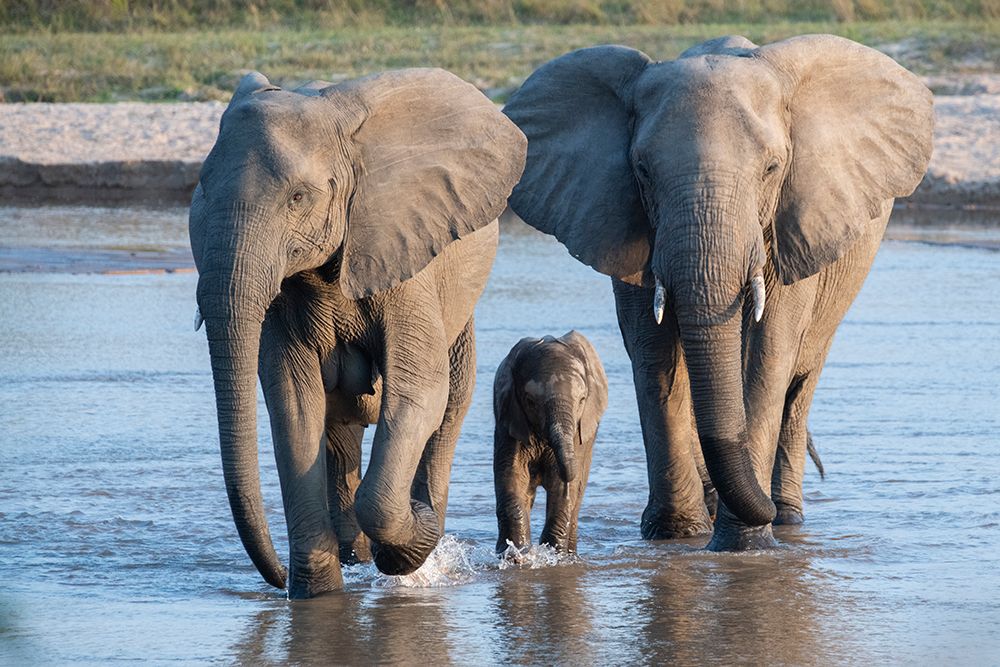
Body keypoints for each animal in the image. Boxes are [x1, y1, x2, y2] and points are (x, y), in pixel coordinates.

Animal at [190, 68, 526, 597]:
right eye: (200, 189)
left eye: (298, 198)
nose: (276, 576)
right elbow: (294, 404)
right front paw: (317, 595)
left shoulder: (405, 257)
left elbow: (419, 392)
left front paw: (416, 531)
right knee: (338, 427)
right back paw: (357, 555)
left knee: (450, 403)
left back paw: (424, 534)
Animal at [492, 331, 608, 555]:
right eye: (530, 401)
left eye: (582, 400)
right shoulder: (509, 420)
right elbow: (512, 474)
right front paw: (517, 552)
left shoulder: (578, 434)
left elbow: (560, 483)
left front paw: (555, 553)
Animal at [503, 34, 933, 549]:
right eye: (642, 170)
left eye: (772, 168)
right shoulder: (627, 223)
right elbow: (652, 350)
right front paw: (676, 536)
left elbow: (768, 354)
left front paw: (746, 544)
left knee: (800, 385)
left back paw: (786, 517)